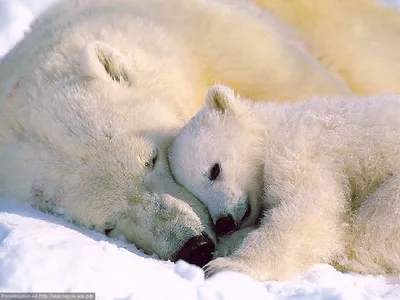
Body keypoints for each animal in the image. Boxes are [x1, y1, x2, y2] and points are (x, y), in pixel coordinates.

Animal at [169, 84, 400, 282]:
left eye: (214, 170)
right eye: (197, 196)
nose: (223, 222)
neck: (275, 128)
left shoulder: (299, 150)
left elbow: (306, 210)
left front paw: (227, 265)